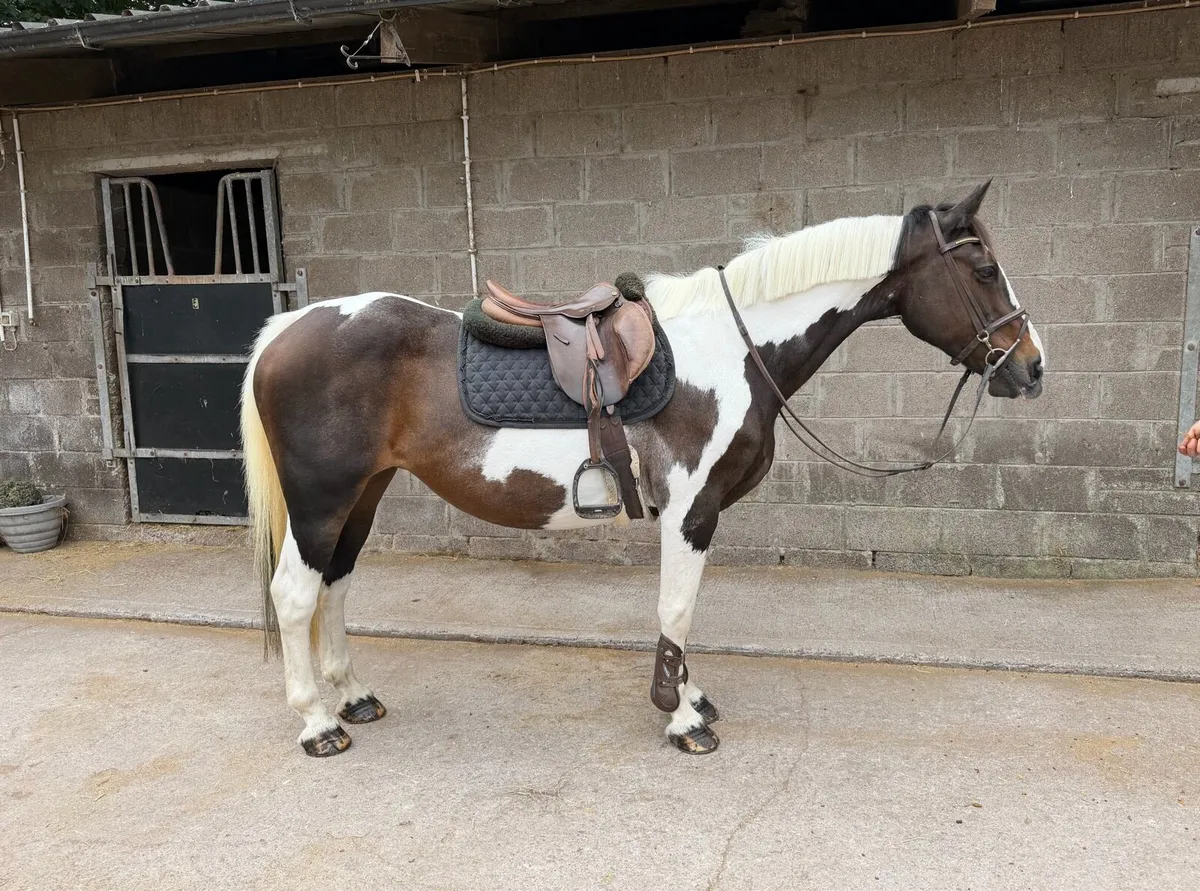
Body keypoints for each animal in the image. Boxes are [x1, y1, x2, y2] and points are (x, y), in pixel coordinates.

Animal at [240, 180, 1044, 758]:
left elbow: (683, 612)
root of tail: (287, 326)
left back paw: (352, 697)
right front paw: (683, 717)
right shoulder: (691, 510)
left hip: (361, 495)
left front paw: (692, 695)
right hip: (321, 498)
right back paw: (318, 724)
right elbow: (676, 609)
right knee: (295, 594)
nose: (1031, 368)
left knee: (335, 587)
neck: (730, 349)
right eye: (982, 268)